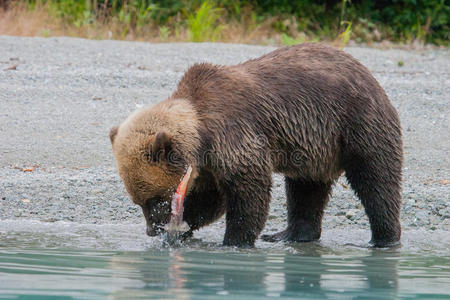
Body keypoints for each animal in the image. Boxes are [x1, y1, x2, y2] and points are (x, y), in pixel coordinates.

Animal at [110, 42, 404, 248]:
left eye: (156, 199)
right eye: (138, 202)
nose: (152, 229)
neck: (202, 133)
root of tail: (367, 71)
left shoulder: (234, 134)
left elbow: (248, 189)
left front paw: (233, 241)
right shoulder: (207, 166)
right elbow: (210, 199)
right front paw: (183, 227)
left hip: (357, 123)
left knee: (376, 180)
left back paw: (383, 238)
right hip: (314, 148)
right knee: (306, 188)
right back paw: (290, 234)